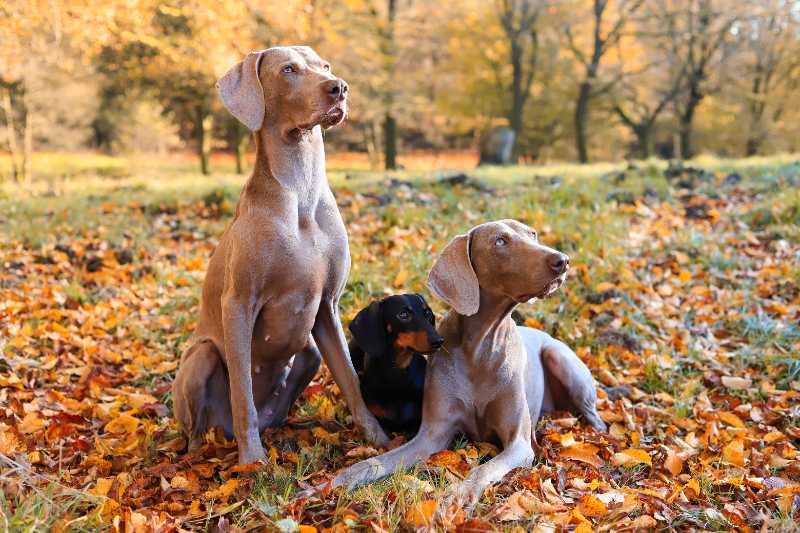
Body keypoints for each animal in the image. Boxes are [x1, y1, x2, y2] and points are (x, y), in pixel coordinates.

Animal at [173, 46, 390, 462]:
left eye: (325, 66)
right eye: (288, 70)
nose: (339, 87)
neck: (300, 190)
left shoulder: (328, 305)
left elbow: (350, 378)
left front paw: (379, 439)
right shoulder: (238, 303)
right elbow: (242, 393)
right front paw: (252, 461)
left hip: (309, 352)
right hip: (203, 356)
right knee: (199, 430)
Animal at [324, 220, 608, 508]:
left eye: (533, 234)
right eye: (500, 241)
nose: (563, 260)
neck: (479, 351)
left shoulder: (518, 443)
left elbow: (483, 468)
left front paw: (460, 495)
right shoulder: (432, 434)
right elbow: (377, 462)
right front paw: (341, 479)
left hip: (558, 357)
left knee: (594, 416)